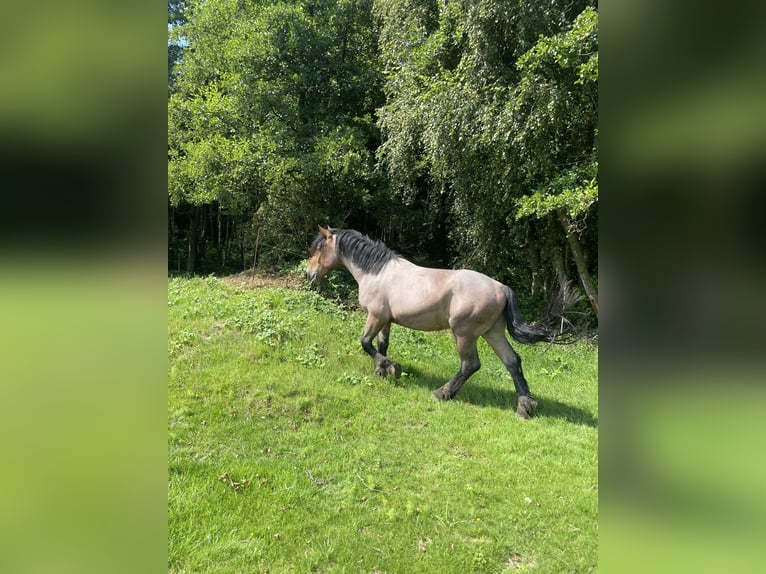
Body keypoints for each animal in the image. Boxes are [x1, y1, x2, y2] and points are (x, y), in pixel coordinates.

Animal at [304, 225, 576, 418]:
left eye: (318, 249)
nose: (308, 275)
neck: (377, 272)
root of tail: (502, 288)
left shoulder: (376, 316)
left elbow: (365, 343)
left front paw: (391, 368)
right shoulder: (386, 320)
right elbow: (381, 345)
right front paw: (383, 370)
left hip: (464, 334)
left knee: (470, 365)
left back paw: (442, 393)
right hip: (493, 333)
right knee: (513, 362)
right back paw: (524, 407)